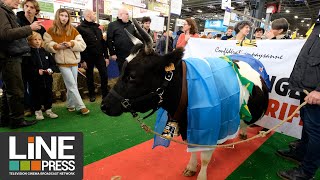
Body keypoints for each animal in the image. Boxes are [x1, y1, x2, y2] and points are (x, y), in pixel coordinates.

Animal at [101, 19, 268, 179]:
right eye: (122, 69)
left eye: (133, 76)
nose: (104, 105)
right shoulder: (189, 127)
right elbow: (193, 149)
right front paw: (191, 168)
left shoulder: (210, 125)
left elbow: (205, 158)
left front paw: (201, 176)